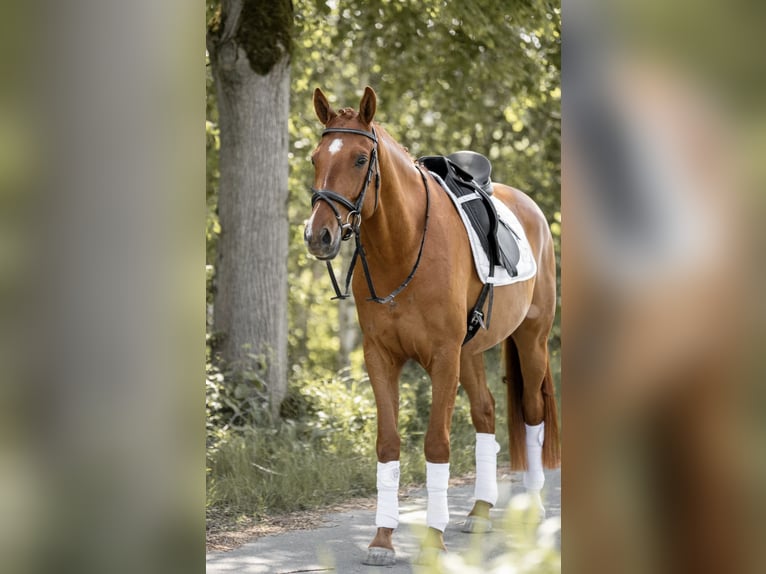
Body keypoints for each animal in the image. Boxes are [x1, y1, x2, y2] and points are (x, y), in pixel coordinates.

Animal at [303, 86, 560, 565]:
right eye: (314, 158)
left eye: (360, 159)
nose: (318, 235)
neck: (402, 247)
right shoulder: (381, 358)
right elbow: (388, 443)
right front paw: (382, 539)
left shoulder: (442, 358)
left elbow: (436, 444)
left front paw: (434, 537)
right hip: (471, 352)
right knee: (486, 414)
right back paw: (479, 511)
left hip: (531, 341)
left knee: (532, 413)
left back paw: (534, 507)